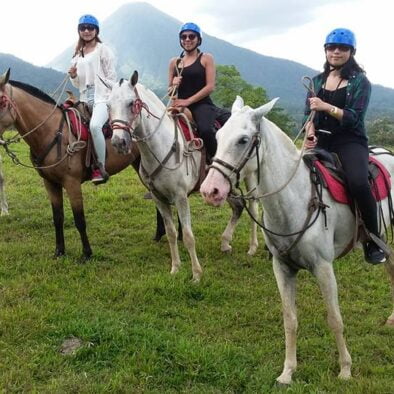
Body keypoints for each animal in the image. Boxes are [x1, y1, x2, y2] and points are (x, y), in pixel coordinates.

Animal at [0, 69, 141, 260]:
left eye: (1, 102)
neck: (53, 132)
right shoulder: (50, 183)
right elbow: (58, 218)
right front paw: (59, 251)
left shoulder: (72, 183)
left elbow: (79, 219)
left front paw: (87, 254)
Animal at [105, 71, 258, 280]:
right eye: (108, 106)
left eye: (131, 103)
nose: (119, 142)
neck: (163, 146)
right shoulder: (159, 198)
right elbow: (171, 233)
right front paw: (175, 268)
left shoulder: (180, 197)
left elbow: (187, 235)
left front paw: (196, 274)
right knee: (238, 206)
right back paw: (225, 243)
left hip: (250, 178)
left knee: (253, 208)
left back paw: (253, 247)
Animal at [200, 96, 394, 384]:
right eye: (219, 135)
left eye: (243, 140)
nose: (210, 190)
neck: (296, 198)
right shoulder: (282, 267)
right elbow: (290, 319)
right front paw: (288, 371)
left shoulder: (323, 268)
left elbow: (334, 318)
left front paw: (345, 369)